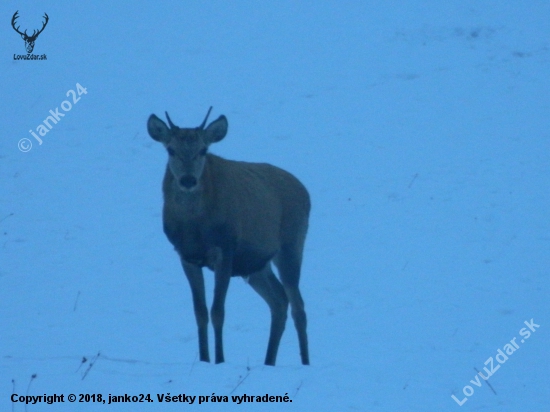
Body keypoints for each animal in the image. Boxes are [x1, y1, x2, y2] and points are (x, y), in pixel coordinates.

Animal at [147, 107, 310, 366]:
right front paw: (204, 359)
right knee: (279, 301)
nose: (188, 180)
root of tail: (305, 191)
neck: (195, 228)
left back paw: (305, 362)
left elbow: (218, 311)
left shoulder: (225, 249)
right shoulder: (186, 256)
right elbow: (200, 313)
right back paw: (268, 360)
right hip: (256, 264)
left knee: (298, 306)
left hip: (291, 244)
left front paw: (221, 359)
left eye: (203, 150)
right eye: (170, 149)